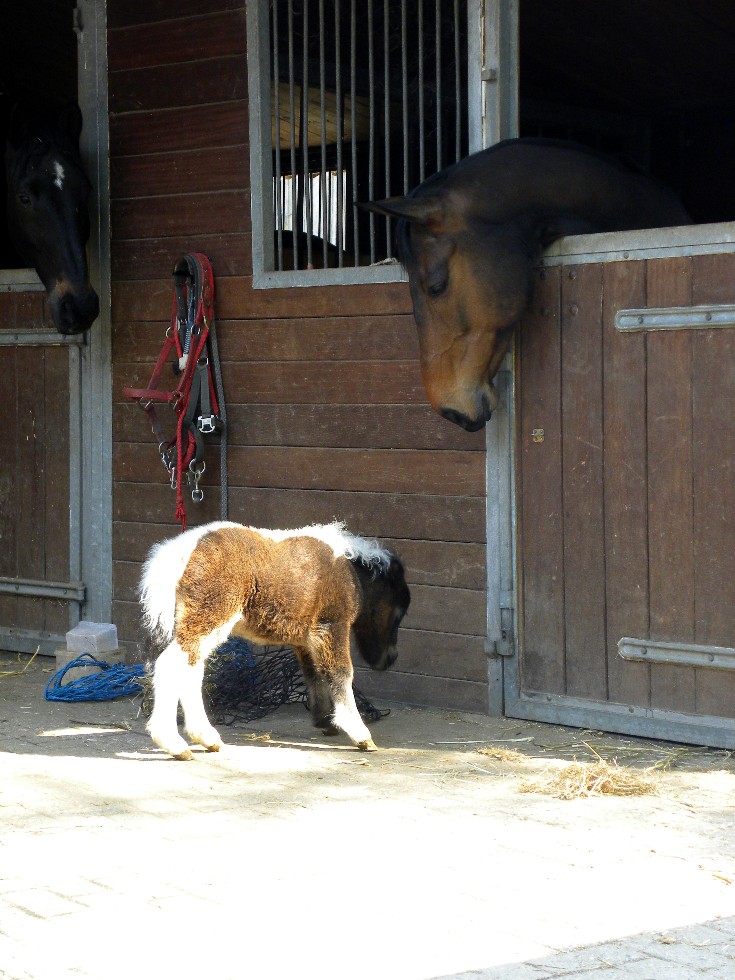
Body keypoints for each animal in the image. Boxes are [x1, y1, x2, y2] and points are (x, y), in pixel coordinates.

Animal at [141, 520, 412, 756]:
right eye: (398, 612)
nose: (390, 659)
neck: (347, 569)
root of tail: (177, 552)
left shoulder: (305, 640)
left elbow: (314, 673)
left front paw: (326, 721)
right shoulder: (330, 626)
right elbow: (341, 672)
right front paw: (359, 734)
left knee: (191, 670)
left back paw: (205, 738)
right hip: (208, 619)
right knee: (171, 666)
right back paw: (174, 743)